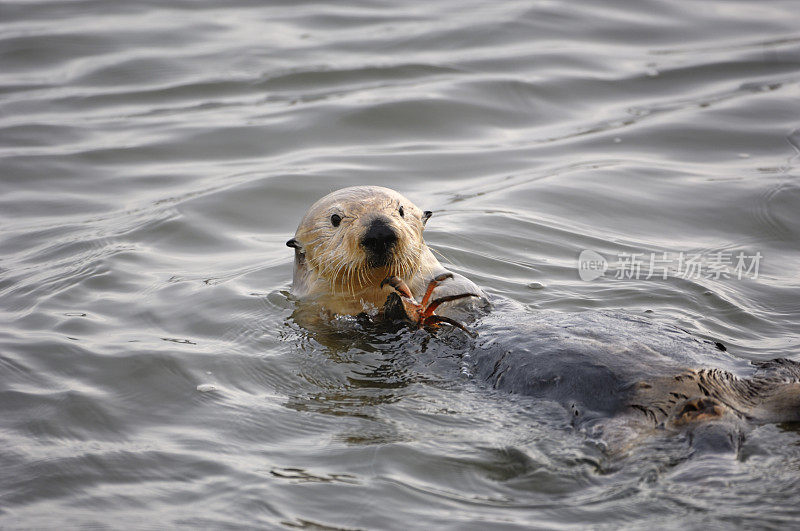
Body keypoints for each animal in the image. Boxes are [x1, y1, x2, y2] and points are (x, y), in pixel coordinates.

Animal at [290, 186, 800, 448]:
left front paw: (415, 305)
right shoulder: (319, 319)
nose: (380, 230)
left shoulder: (453, 287)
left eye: (400, 211)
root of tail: (717, 396)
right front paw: (397, 311)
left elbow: (460, 299)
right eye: (336, 219)